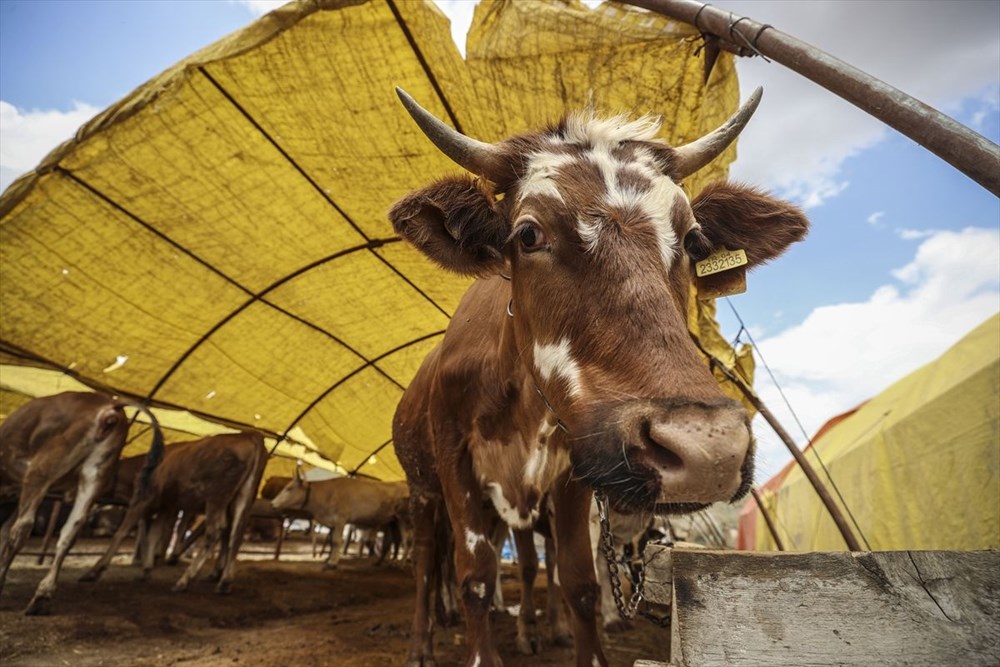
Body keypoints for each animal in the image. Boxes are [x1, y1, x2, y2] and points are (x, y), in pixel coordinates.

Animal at [0, 392, 163, 616]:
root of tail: (110, 403)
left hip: (42, 469)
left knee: (22, 528)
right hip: (94, 474)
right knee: (70, 532)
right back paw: (42, 596)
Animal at [80, 434, 266, 596]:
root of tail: (247, 435)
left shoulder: (143, 499)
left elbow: (122, 532)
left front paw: (94, 571)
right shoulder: (166, 507)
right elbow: (153, 535)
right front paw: (146, 570)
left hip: (216, 497)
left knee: (216, 531)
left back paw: (184, 581)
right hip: (242, 498)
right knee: (235, 533)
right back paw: (223, 582)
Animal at [272, 472, 408, 572]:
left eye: (289, 488)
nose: (273, 504)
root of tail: (403, 483)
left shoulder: (340, 520)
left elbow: (337, 541)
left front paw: (332, 563)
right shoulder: (332, 523)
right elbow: (332, 542)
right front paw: (328, 559)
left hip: (404, 520)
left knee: (406, 542)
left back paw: (402, 563)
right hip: (392, 521)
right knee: (390, 542)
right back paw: (381, 562)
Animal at [386, 88, 808, 667]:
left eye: (694, 240)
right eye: (527, 233)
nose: (708, 449)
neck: (522, 406)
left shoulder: (570, 474)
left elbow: (579, 581)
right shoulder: (456, 464)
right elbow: (473, 578)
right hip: (422, 490)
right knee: (430, 563)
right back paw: (422, 642)